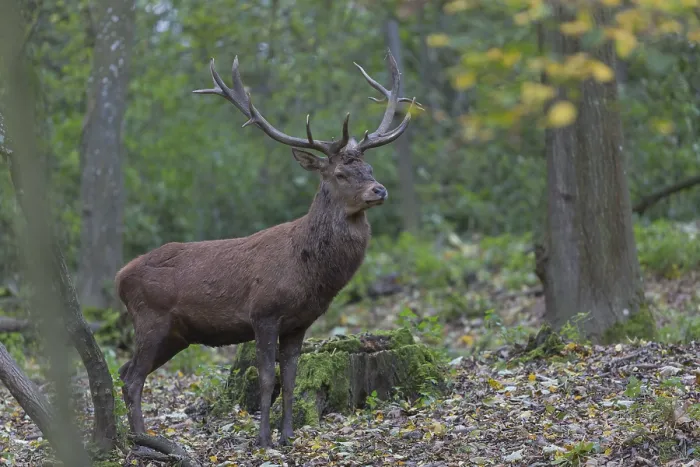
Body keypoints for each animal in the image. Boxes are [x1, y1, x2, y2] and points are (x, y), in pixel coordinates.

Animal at [115, 48, 421, 448]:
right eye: (340, 174)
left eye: (369, 168)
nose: (379, 190)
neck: (308, 271)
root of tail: (119, 278)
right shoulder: (263, 313)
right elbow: (265, 379)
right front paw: (263, 438)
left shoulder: (300, 322)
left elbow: (290, 380)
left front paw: (288, 434)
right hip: (150, 319)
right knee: (133, 378)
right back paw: (143, 439)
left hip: (174, 335)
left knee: (125, 372)